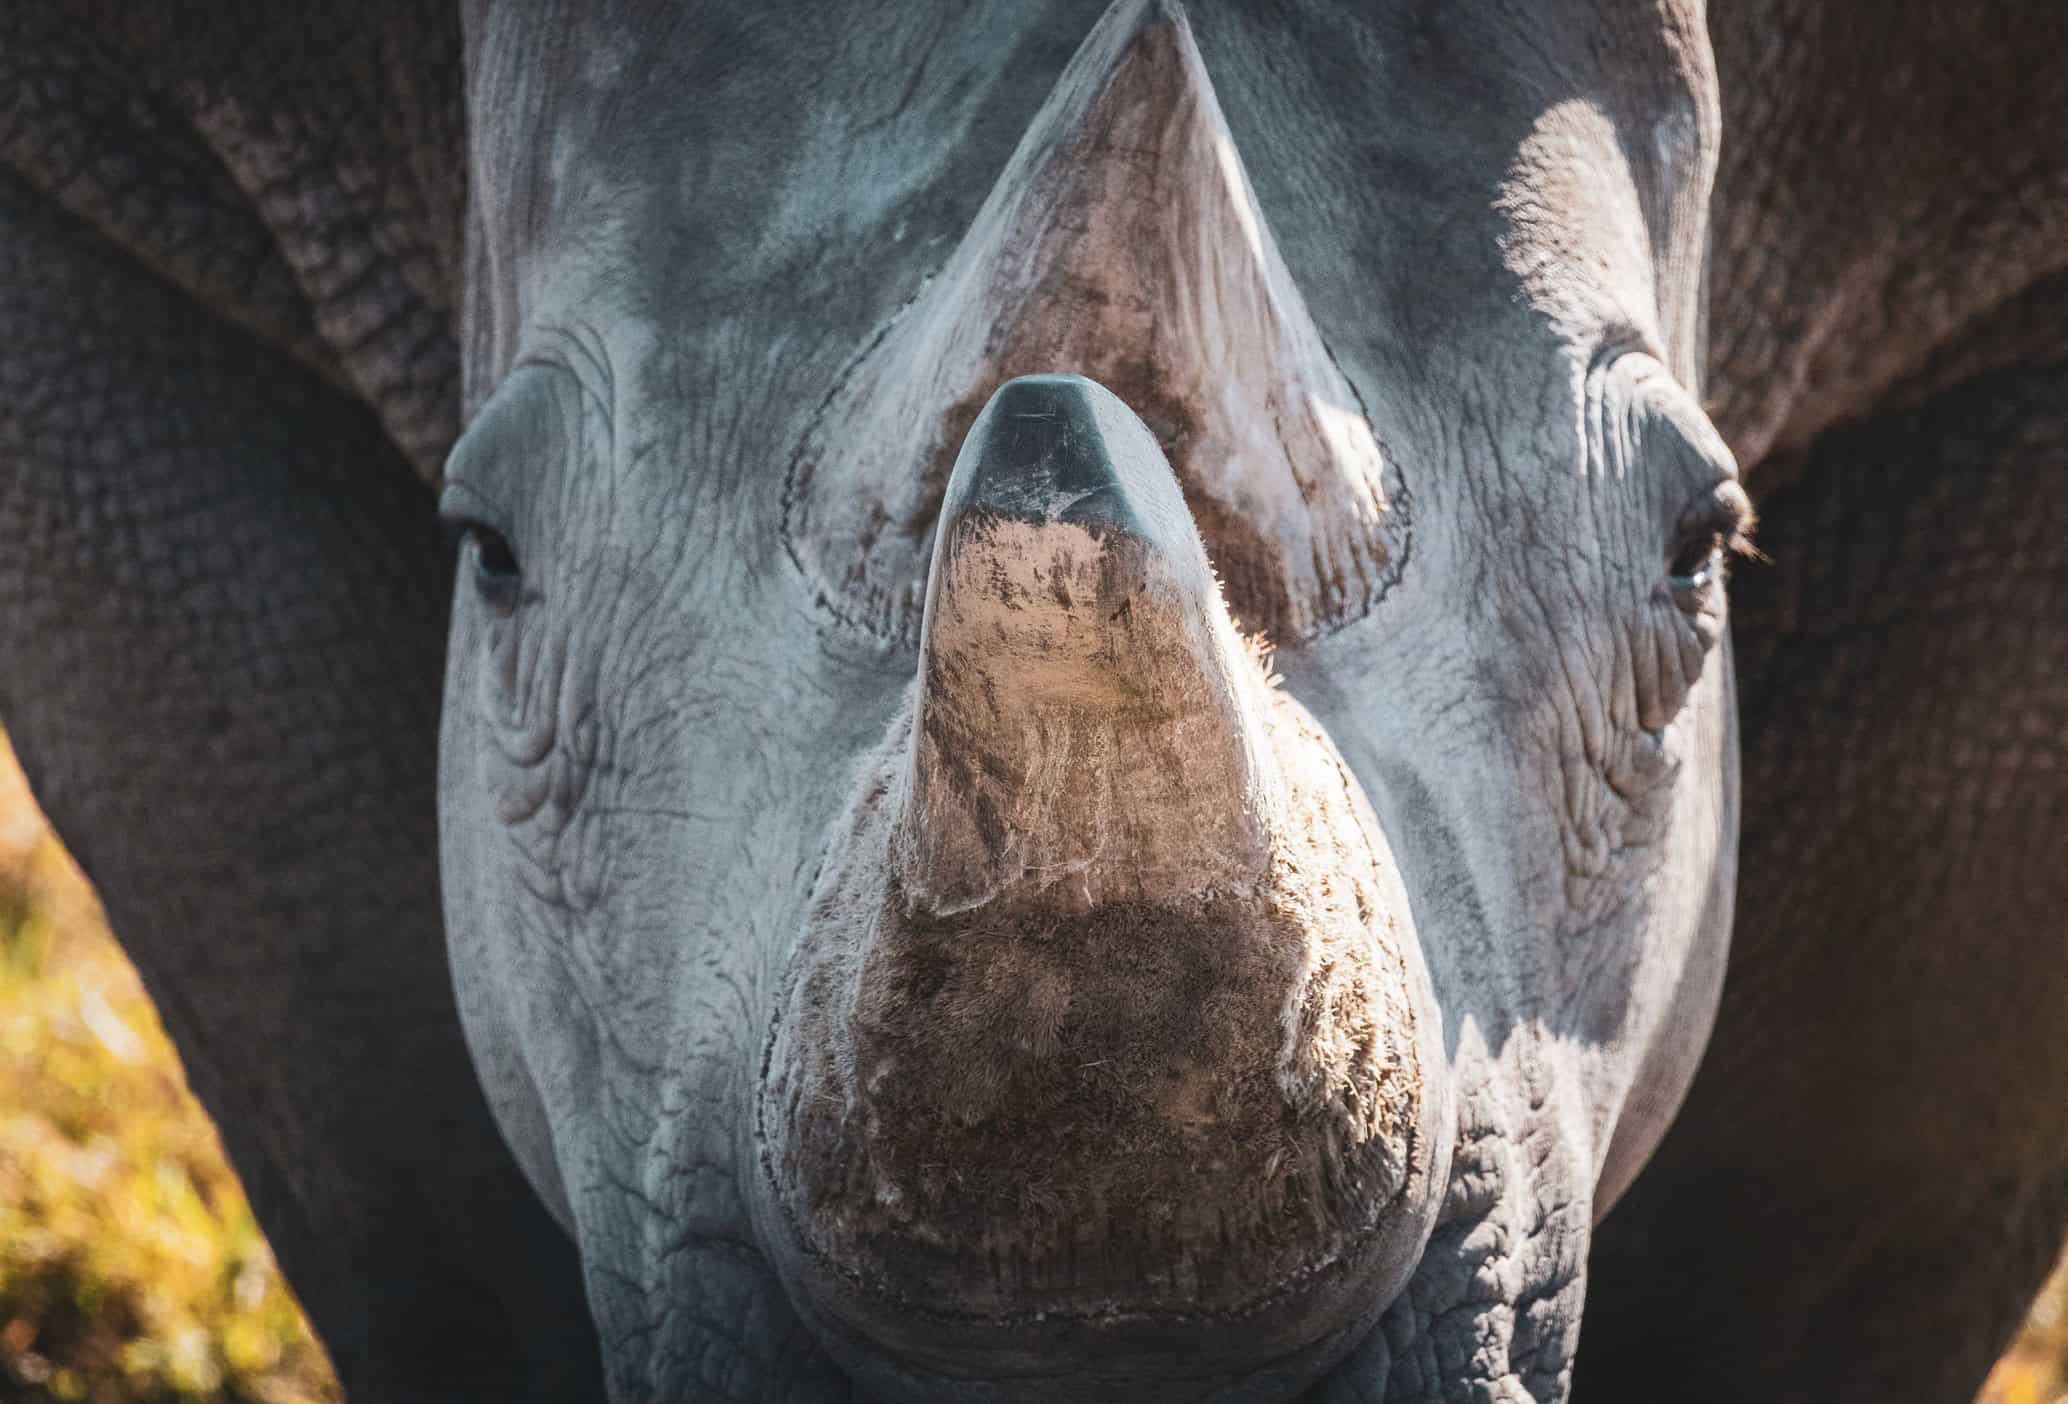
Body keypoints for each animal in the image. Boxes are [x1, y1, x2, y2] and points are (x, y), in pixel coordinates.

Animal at [0, 2, 2061, 1402]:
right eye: (491, 551)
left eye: (1695, 550)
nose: (1085, 1344)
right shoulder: (90, 180)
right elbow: (399, 1159)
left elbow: (1817, 1222)